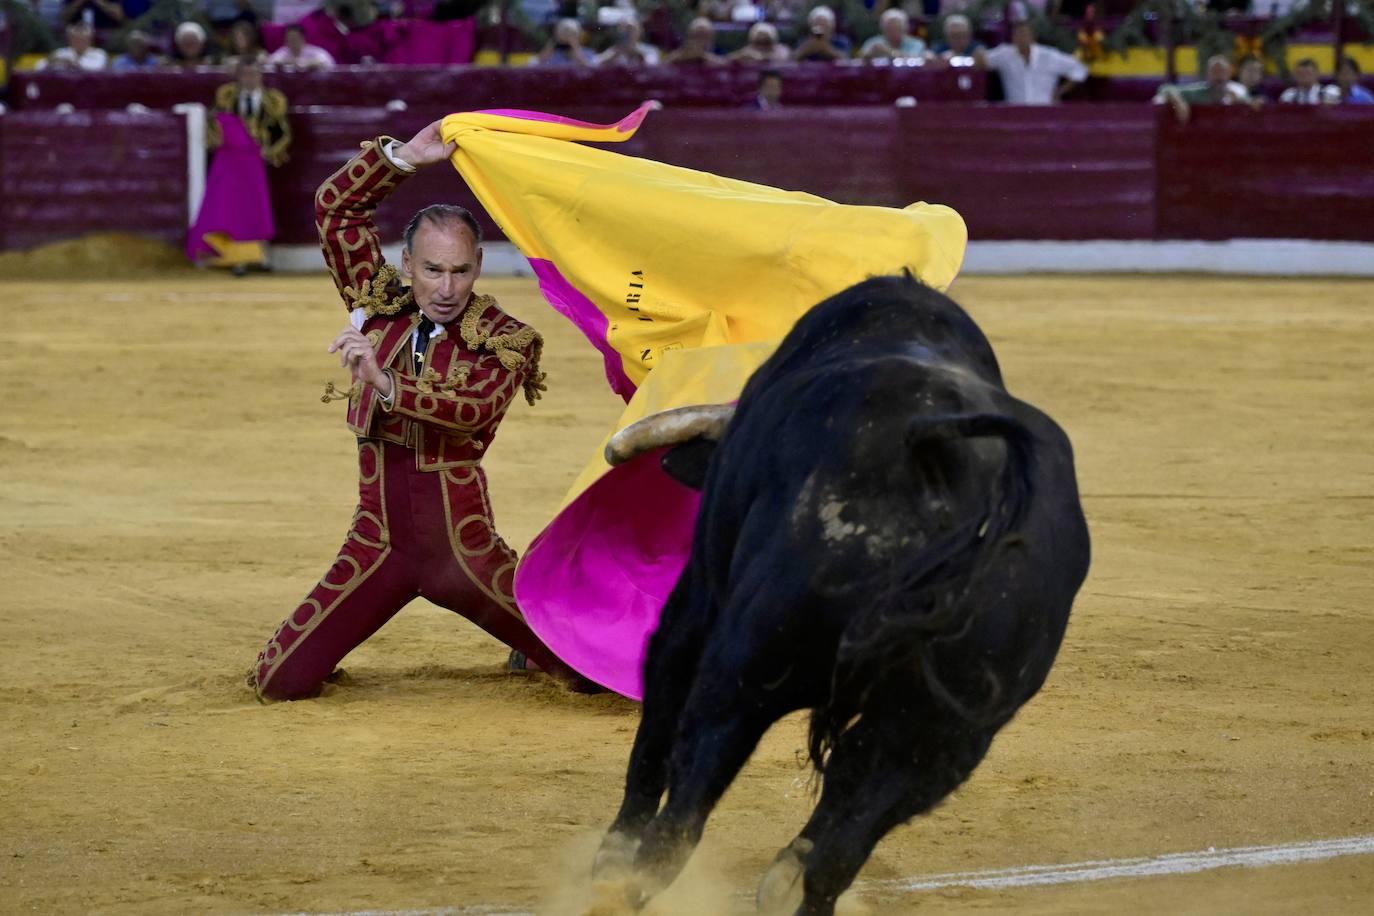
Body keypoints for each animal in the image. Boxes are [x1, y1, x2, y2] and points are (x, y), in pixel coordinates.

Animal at [596, 274, 1088, 916]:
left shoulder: (699, 601)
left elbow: (659, 707)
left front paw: (610, 853)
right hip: (949, 736)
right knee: (841, 848)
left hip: (747, 667)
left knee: (684, 814)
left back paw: (616, 889)